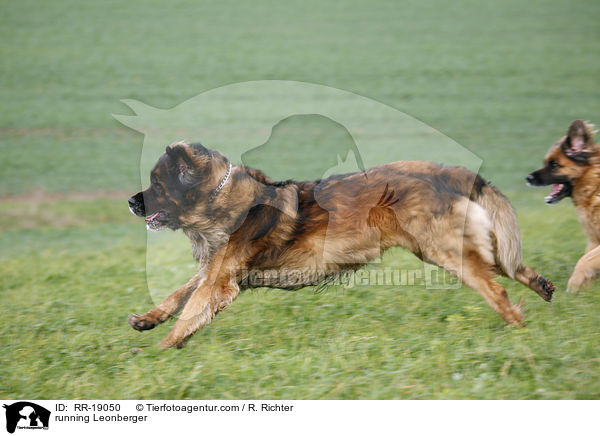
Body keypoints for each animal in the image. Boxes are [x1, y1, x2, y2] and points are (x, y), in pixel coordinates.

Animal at [129, 141, 556, 350]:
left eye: (158, 185)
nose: (132, 202)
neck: (222, 199)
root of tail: (448, 172)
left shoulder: (220, 280)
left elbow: (191, 308)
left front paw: (161, 349)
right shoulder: (217, 270)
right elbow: (178, 296)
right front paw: (148, 320)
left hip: (445, 252)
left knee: (497, 288)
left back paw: (519, 329)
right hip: (450, 248)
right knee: (508, 266)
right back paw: (541, 286)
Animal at [528, 119, 596, 292]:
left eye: (554, 165)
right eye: (546, 162)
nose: (528, 178)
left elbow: (584, 261)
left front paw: (573, 287)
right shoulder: (594, 240)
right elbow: (587, 260)